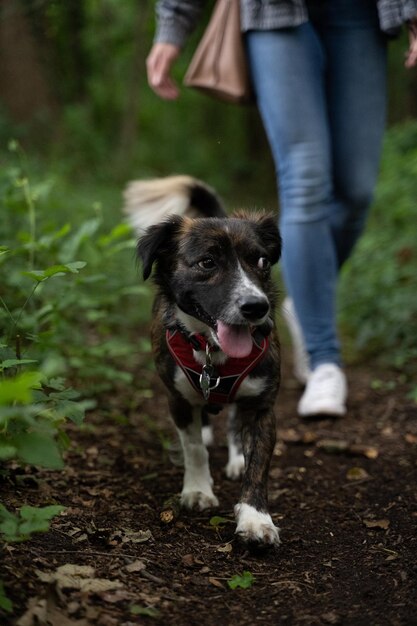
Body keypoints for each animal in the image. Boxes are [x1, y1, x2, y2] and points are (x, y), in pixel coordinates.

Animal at [122, 177, 280, 544]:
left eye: (262, 261)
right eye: (207, 262)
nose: (257, 307)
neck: (213, 351)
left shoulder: (262, 406)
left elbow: (258, 465)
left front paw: (255, 518)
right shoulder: (177, 398)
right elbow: (193, 447)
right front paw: (197, 490)